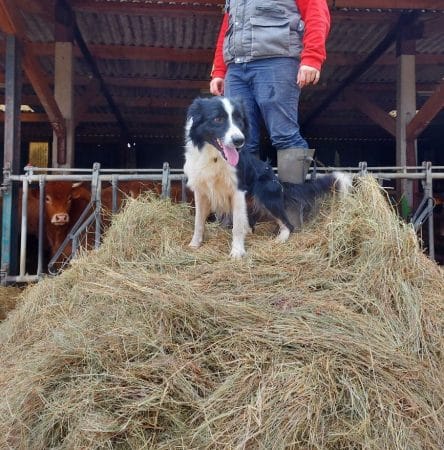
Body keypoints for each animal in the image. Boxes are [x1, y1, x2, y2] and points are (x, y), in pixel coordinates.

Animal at [184, 97, 350, 260]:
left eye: (239, 120)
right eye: (217, 119)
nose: (239, 140)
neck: (215, 157)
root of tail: (278, 181)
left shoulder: (238, 190)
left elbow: (237, 227)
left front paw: (237, 252)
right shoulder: (201, 191)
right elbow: (198, 222)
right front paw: (194, 244)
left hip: (266, 193)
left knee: (287, 225)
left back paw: (280, 239)